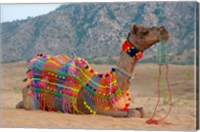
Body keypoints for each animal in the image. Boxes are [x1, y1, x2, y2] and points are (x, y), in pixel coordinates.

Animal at [16, 24, 169, 117]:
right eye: (144, 31)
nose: (165, 31)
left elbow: (141, 110)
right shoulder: (93, 107)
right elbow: (131, 113)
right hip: (33, 101)